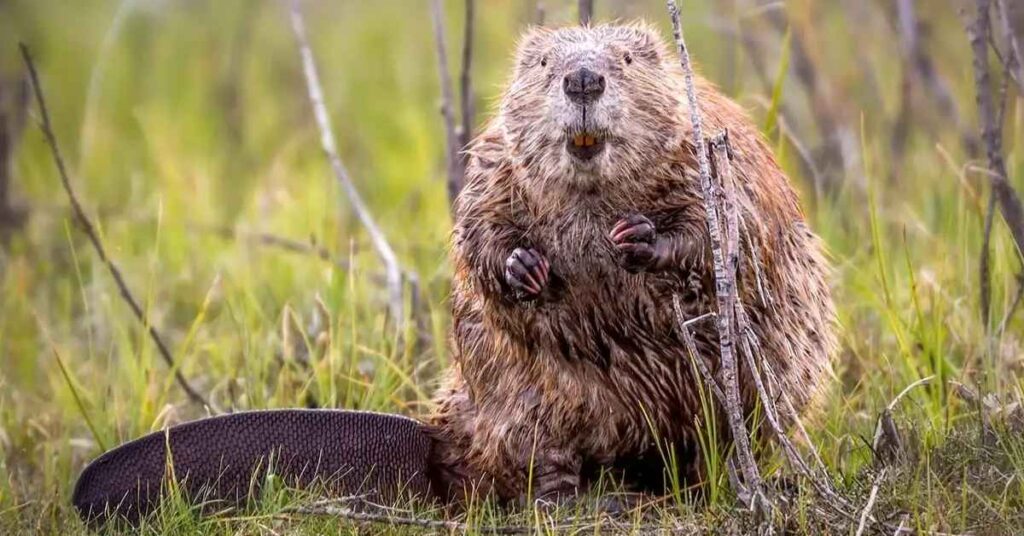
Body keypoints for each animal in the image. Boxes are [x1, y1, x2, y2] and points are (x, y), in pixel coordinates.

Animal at [72, 22, 835, 524]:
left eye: (623, 57)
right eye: (543, 62)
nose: (583, 79)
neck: (592, 192)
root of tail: (436, 448)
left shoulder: (710, 152)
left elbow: (723, 231)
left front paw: (638, 238)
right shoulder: (494, 160)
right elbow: (476, 232)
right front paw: (526, 266)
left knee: (703, 454)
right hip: (523, 404)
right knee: (537, 465)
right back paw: (574, 497)